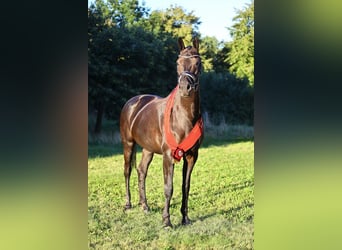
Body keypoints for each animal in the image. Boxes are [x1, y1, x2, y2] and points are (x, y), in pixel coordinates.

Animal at [119, 37, 203, 227]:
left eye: (198, 63)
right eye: (178, 63)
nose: (185, 87)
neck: (183, 117)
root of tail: (133, 101)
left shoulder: (191, 156)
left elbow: (185, 187)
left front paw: (185, 219)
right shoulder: (168, 155)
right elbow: (168, 187)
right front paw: (166, 221)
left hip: (147, 149)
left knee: (141, 171)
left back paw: (144, 206)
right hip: (128, 144)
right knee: (127, 171)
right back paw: (128, 204)